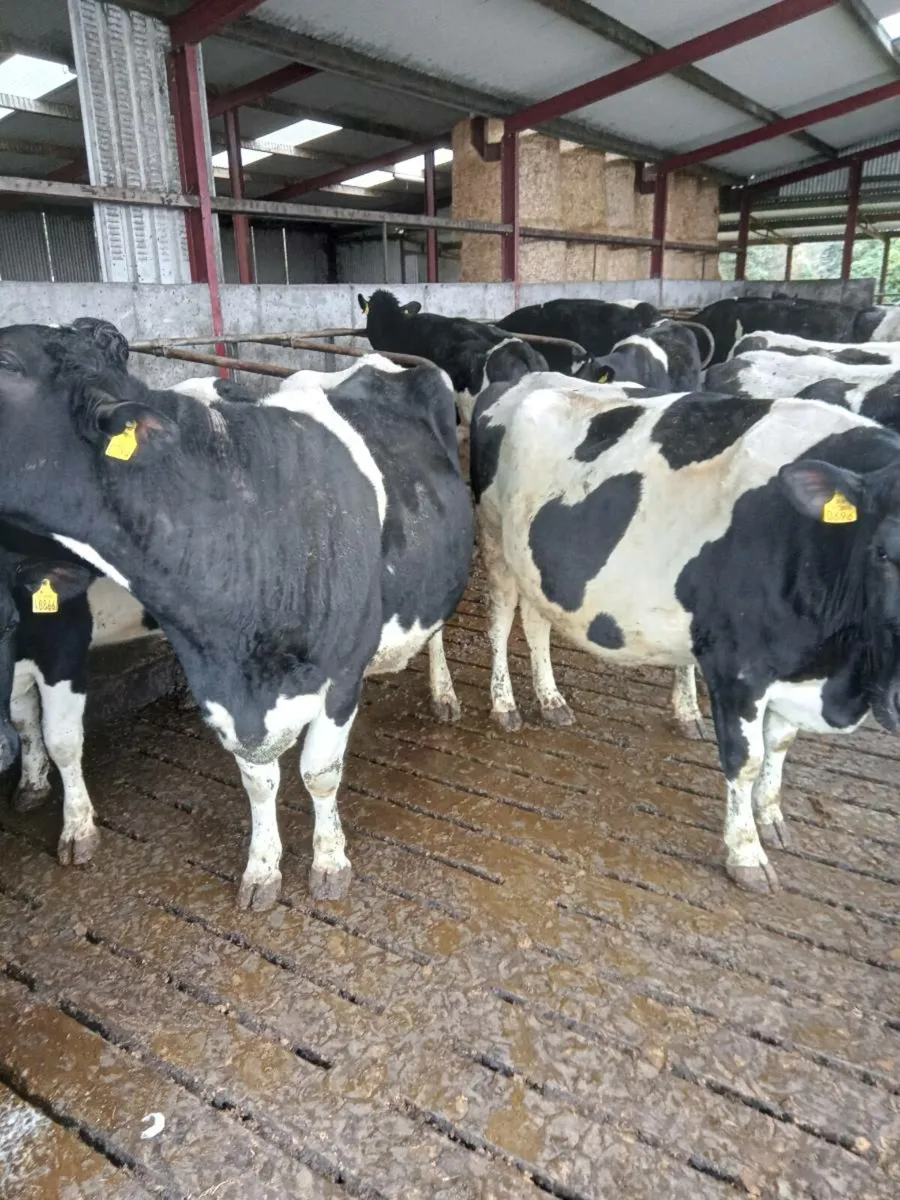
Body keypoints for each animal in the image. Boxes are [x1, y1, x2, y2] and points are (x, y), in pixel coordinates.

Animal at [0, 326, 474, 909]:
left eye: (5, 361)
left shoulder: (340, 676)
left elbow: (319, 773)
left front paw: (330, 863)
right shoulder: (224, 690)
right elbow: (258, 781)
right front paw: (263, 869)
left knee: (437, 631)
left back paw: (443, 693)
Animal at [470, 373, 900, 894]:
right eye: (883, 552)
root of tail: (524, 378)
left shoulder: (795, 665)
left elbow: (779, 745)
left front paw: (771, 817)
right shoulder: (738, 668)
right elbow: (746, 758)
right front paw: (746, 853)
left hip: (535, 563)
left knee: (536, 624)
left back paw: (551, 699)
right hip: (495, 538)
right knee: (499, 621)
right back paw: (504, 704)